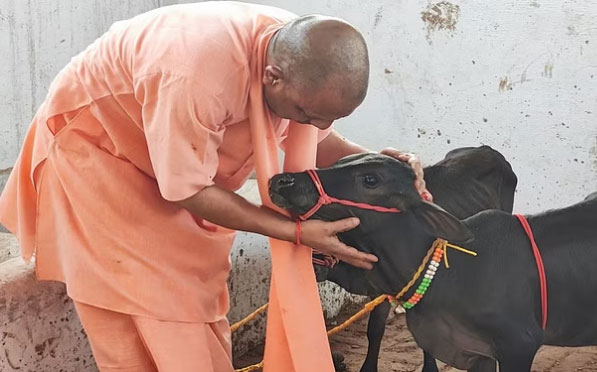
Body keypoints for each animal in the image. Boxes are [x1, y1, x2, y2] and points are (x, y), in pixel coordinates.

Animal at [268, 151, 596, 372]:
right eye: (338, 161)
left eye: (370, 179)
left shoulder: (519, 345)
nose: (283, 180)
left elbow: (380, 332)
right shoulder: (479, 354)